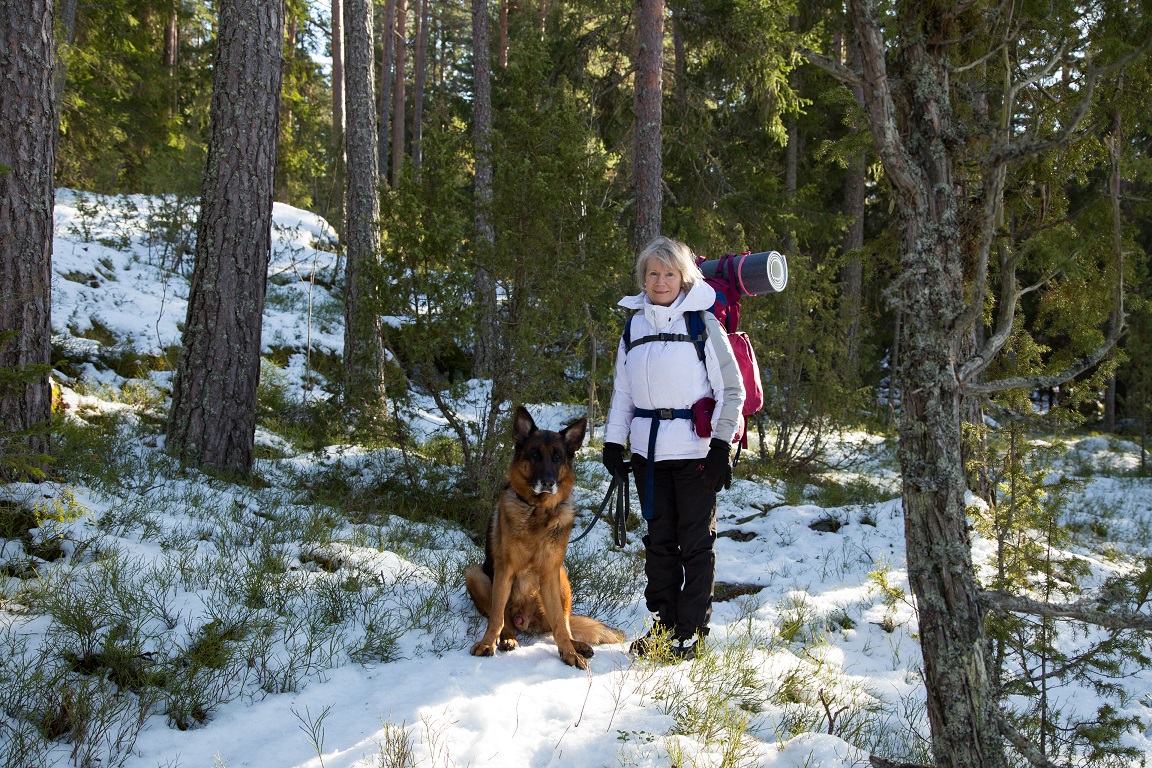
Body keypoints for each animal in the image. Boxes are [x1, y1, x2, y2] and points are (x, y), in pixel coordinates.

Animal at [465, 407, 626, 667]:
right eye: (534, 455)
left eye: (558, 457)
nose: (548, 483)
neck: (538, 510)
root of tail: (527, 620)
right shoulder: (505, 570)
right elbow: (497, 616)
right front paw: (488, 643)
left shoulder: (550, 571)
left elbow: (560, 624)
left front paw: (569, 653)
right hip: (475, 575)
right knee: (504, 620)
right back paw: (508, 639)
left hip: (561, 577)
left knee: (563, 624)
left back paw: (576, 645)